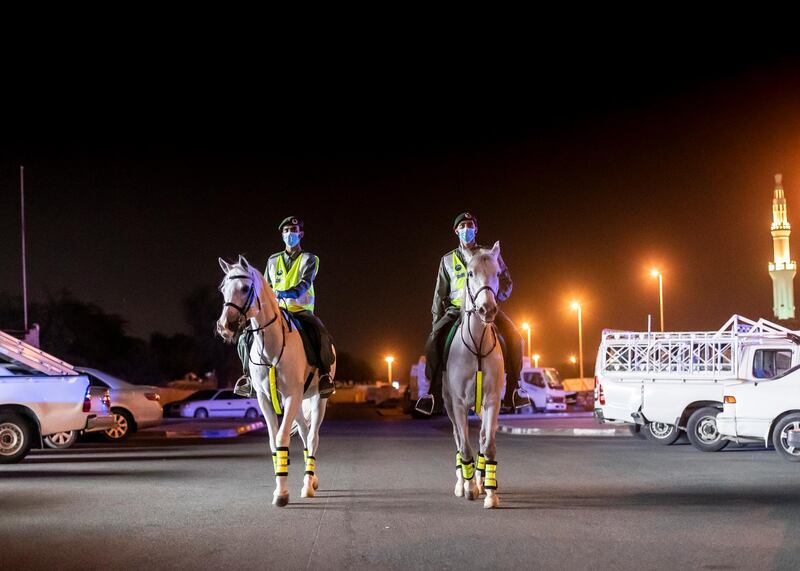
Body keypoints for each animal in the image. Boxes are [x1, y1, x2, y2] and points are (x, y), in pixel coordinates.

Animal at [214, 256, 332, 508]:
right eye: (223, 289)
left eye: (245, 288)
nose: (224, 327)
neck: (271, 346)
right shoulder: (264, 398)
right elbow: (272, 442)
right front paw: (280, 488)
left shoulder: (291, 395)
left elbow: (281, 437)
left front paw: (282, 493)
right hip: (298, 402)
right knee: (305, 434)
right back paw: (311, 480)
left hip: (317, 399)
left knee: (312, 437)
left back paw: (309, 485)